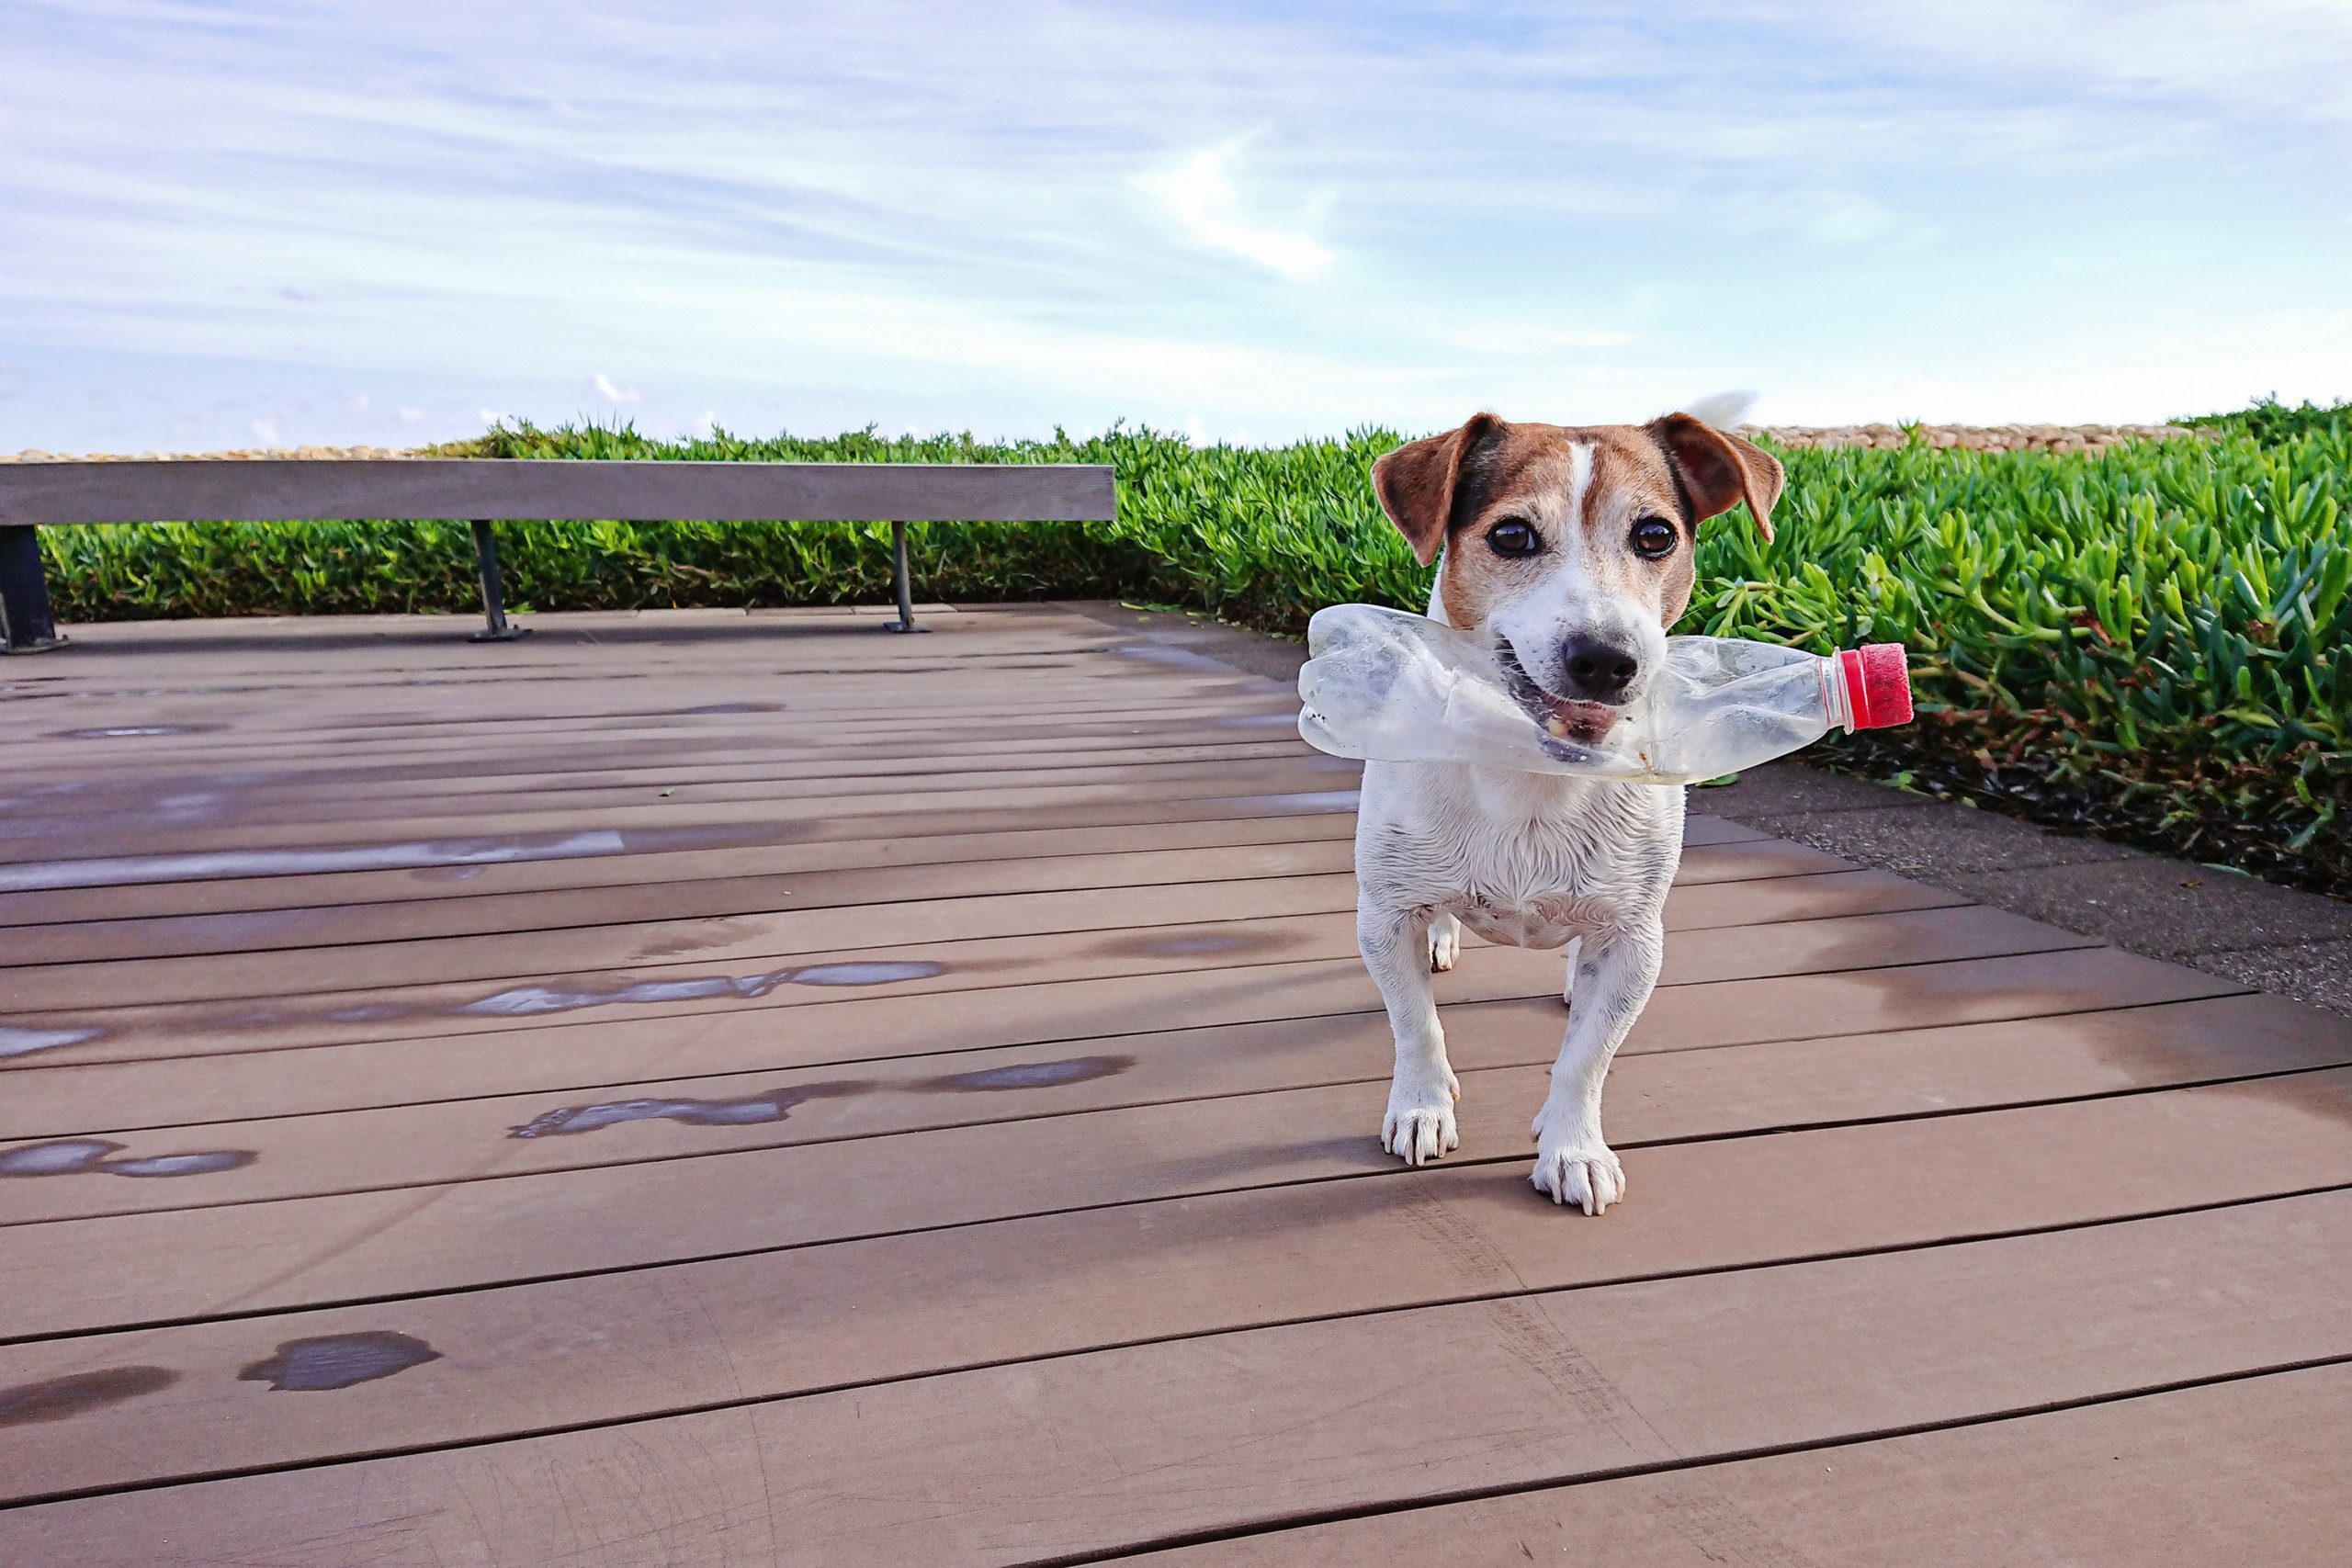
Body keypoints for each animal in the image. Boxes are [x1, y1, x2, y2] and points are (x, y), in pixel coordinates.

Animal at [1354, 404, 1769, 1213]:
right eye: (1512, 534)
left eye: (1655, 535)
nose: (1606, 658)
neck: (1532, 768)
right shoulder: (1382, 917)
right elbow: (1416, 1025)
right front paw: (1422, 1106)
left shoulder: (1638, 942)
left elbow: (1587, 1058)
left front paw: (1574, 1146)